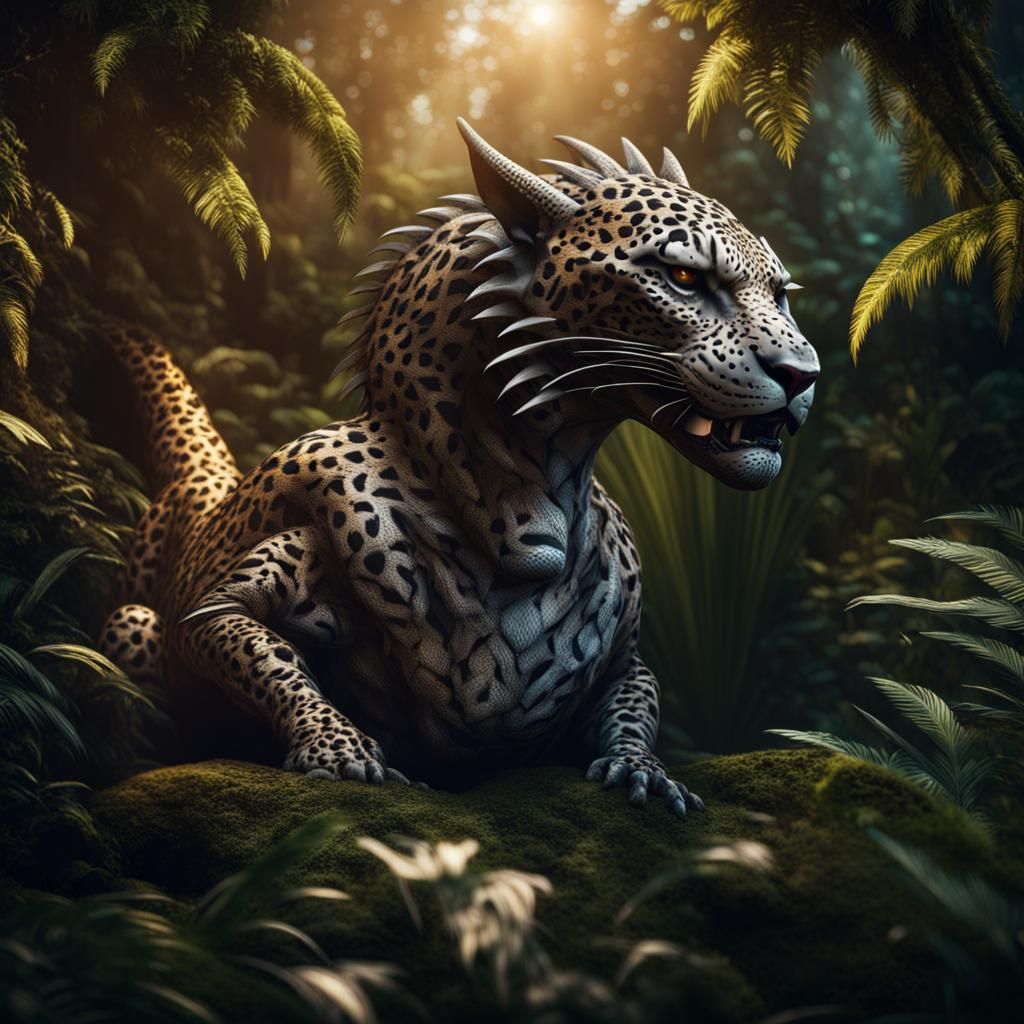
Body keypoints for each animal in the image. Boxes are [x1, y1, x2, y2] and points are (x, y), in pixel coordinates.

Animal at [99, 119, 819, 818]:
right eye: (683, 277)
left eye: (781, 292)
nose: (803, 374)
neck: (521, 511)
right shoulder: (215, 610)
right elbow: (269, 655)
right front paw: (343, 751)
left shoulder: (626, 662)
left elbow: (634, 703)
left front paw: (643, 772)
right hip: (128, 621)